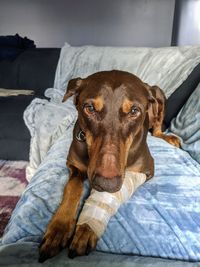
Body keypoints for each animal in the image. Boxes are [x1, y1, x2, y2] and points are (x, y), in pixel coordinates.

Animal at [38, 70, 180, 262]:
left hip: (159, 95)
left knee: (157, 129)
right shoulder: (74, 166)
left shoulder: (145, 169)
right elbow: (72, 188)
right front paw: (59, 228)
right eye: (89, 108)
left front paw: (86, 229)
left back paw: (169, 137)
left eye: (134, 111)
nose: (106, 184)